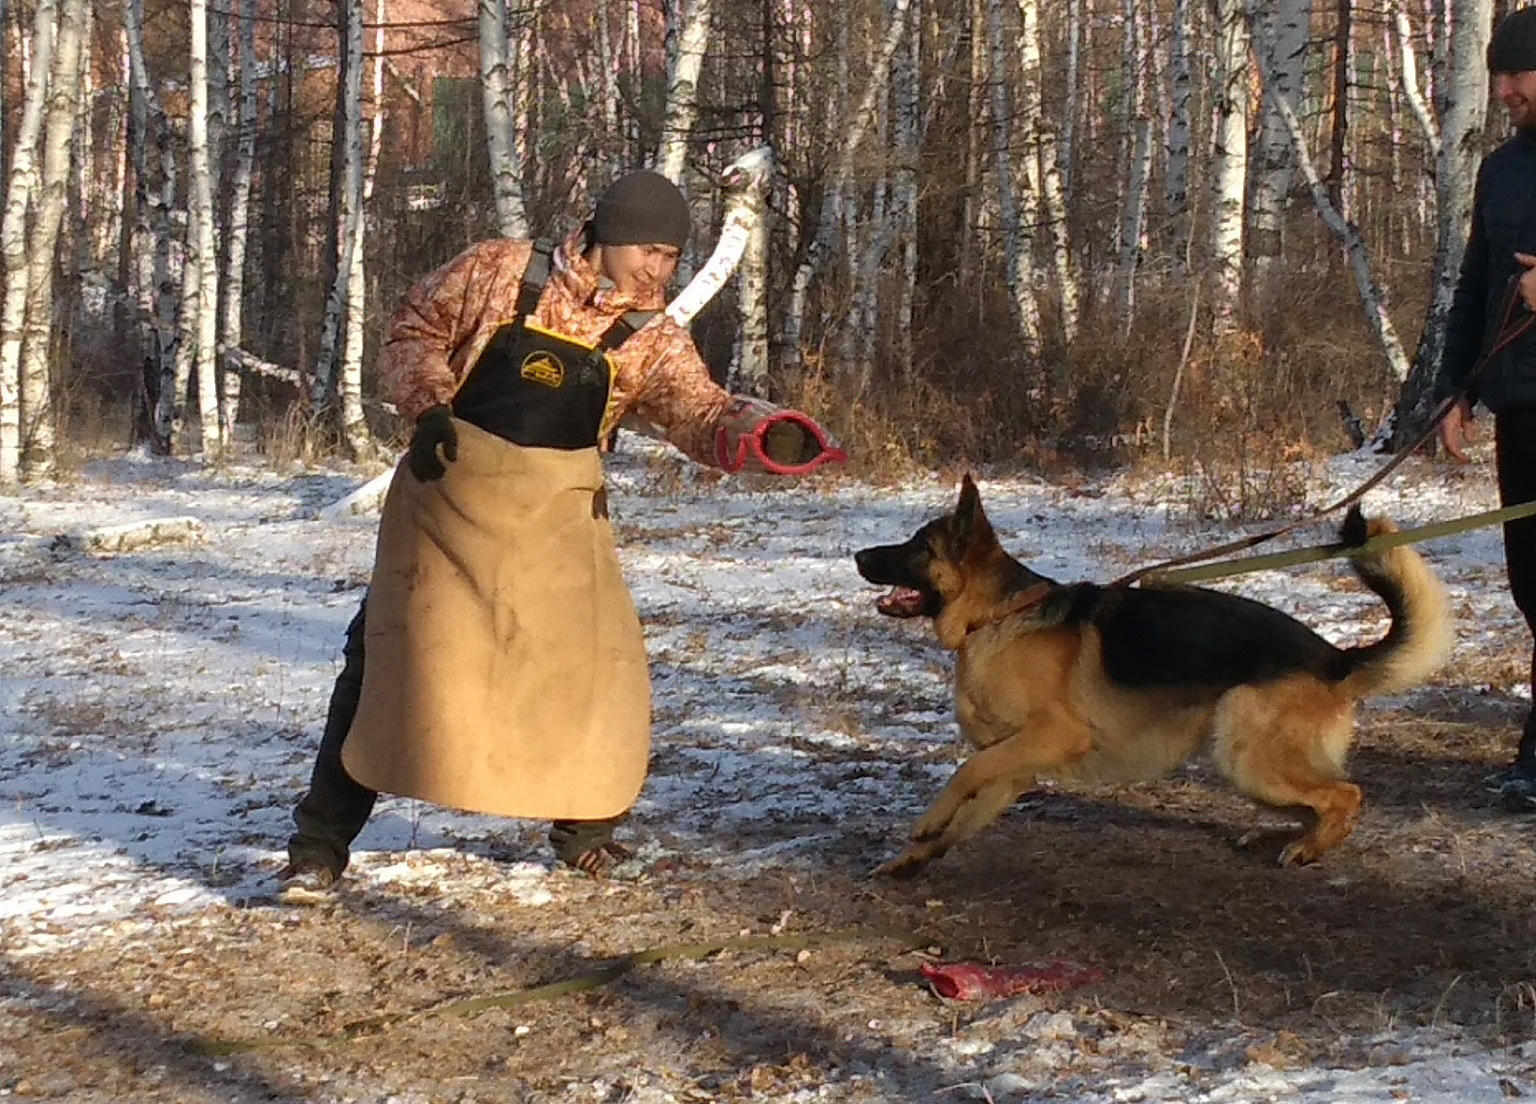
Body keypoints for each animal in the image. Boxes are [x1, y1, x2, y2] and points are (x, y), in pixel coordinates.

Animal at [860, 479, 1443, 878]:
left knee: (1346, 794)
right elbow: (968, 810)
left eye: (918, 547)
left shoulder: (1048, 737)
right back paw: (1276, 836)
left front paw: (925, 823)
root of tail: (1335, 657)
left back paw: (1310, 847)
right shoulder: (1013, 766)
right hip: (1244, 763)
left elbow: (963, 773)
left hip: (1248, 755)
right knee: (1316, 802)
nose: (859, 553)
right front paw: (914, 857)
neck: (996, 616)